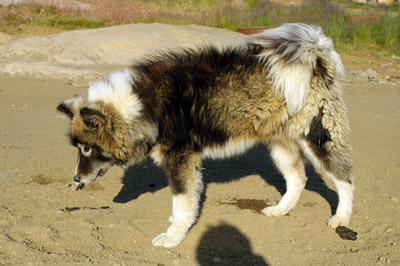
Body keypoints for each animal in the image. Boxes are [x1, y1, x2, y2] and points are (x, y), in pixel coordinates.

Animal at [57, 22, 354, 247]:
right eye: (79, 148)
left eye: (87, 149)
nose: (76, 179)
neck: (143, 104)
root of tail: (317, 61)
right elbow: (185, 202)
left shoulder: (180, 160)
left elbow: (182, 203)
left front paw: (173, 236)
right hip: (280, 145)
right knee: (298, 179)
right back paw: (281, 209)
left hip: (320, 141)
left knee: (345, 181)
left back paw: (342, 218)